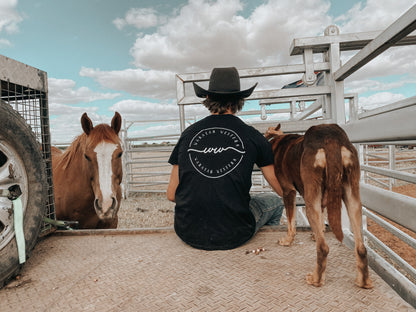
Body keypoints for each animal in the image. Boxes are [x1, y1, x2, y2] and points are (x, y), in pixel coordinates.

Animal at [266, 123, 374, 288]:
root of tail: (331, 138)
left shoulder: (288, 191)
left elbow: (291, 223)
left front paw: (287, 240)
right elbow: (321, 221)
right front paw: (316, 233)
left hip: (311, 202)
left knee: (323, 248)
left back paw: (316, 279)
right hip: (353, 198)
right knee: (361, 247)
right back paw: (363, 281)